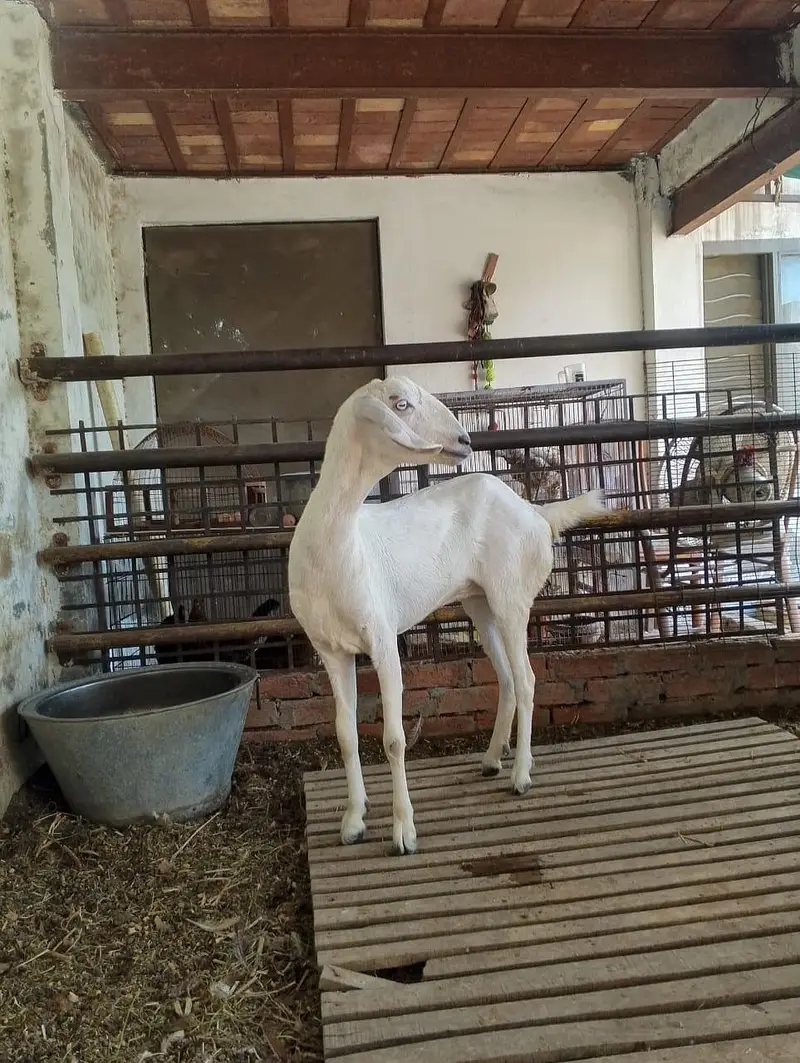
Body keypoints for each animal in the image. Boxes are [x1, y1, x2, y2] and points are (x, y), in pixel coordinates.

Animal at [288, 376, 605, 855]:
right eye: (400, 403)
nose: (465, 441)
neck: (340, 544)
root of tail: (534, 511)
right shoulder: (330, 649)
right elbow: (345, 735)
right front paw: (353, 821)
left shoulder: (384, 641)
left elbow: (394, 740)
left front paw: (403, 831)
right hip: (480, 603)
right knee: (507, 679)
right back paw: (492, 759)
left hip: (512, 598)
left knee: (528, 679)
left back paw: (521, 775)